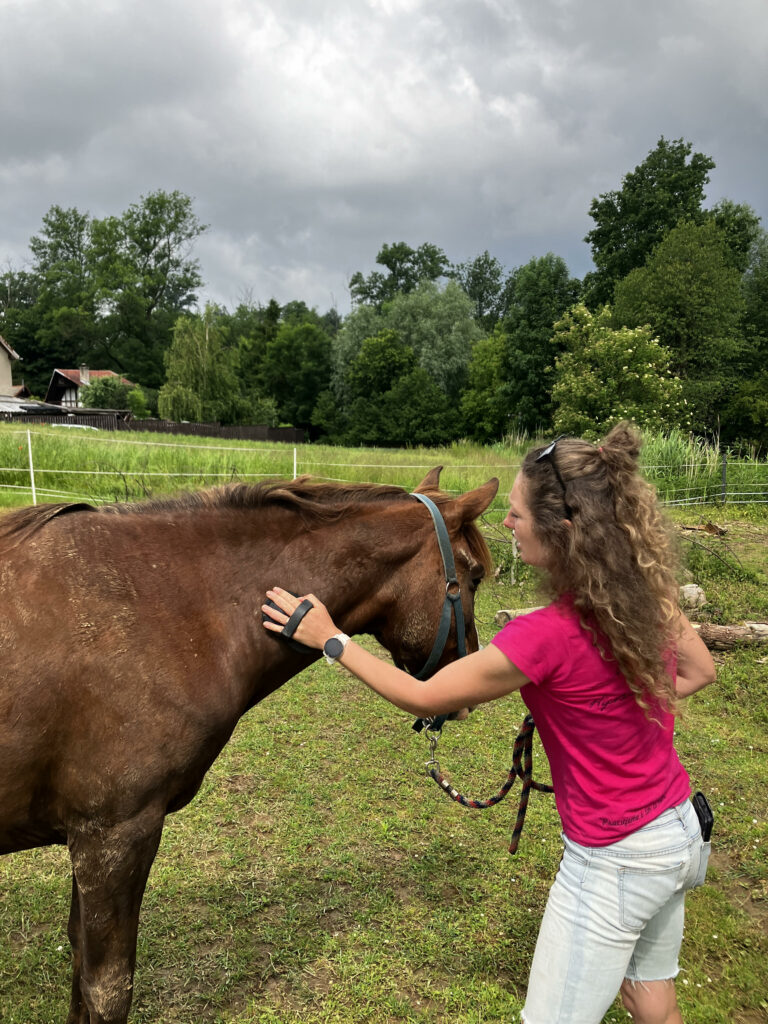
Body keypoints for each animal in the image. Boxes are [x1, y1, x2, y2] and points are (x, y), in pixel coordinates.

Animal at [0, 468, 499, 1024]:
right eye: (475, 575)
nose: (466, 692)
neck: (160, 608)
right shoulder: (112, 834)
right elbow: (108, 989)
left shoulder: (87, 838)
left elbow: (79, 967)